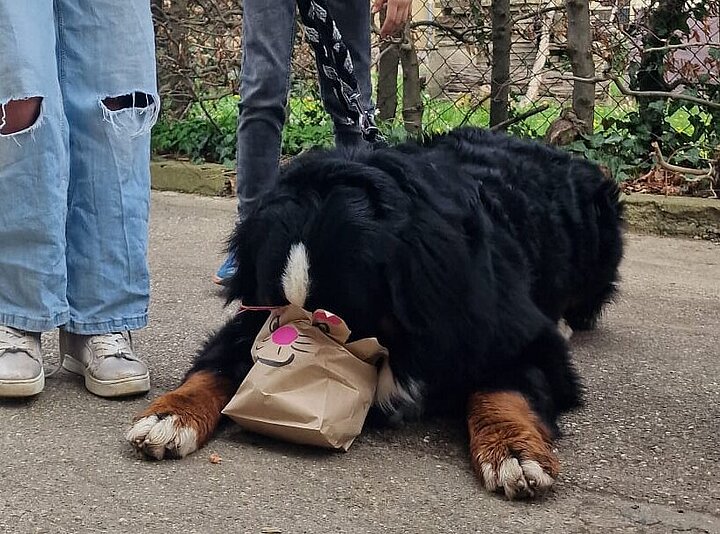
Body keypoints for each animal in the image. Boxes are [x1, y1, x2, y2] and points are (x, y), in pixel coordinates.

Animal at [126, 129, 620, 502]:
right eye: (277, 309)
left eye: (334, 322)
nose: (287, 351)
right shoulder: (252, 323)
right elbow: (216, 366)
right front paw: (169, 417)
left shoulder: (517, 335)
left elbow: (503, 391)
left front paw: (513, 452)